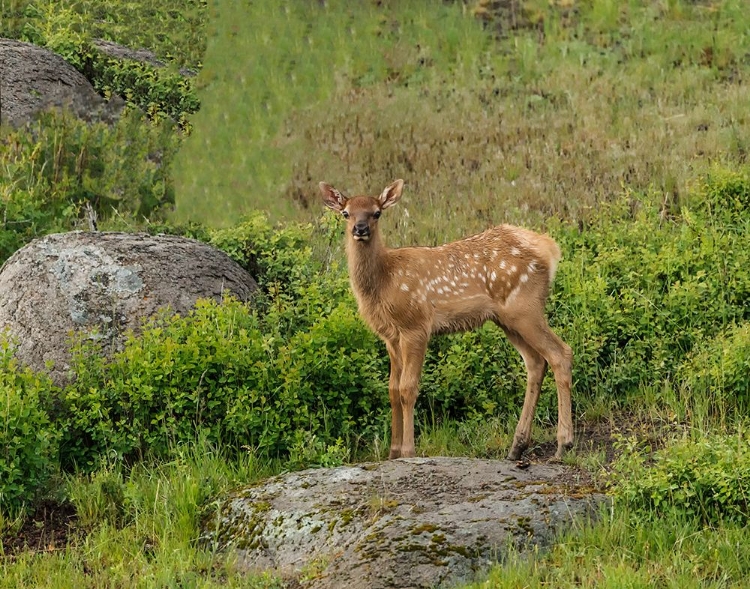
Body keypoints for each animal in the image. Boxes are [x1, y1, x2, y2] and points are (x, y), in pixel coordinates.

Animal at [318, 179, 576, 460]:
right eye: (346, 213)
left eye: (377, 213)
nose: (360, 229)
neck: (385, 281)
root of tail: (550, 248)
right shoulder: (390, 337)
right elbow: (392, 390)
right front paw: (392, 453)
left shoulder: (416, 326)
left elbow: (408, 388)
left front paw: (409, 451)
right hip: (507, 319)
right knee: (536, 362)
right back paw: (517, 446)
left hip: (526, 308)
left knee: (560, 353)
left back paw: (564, 443)